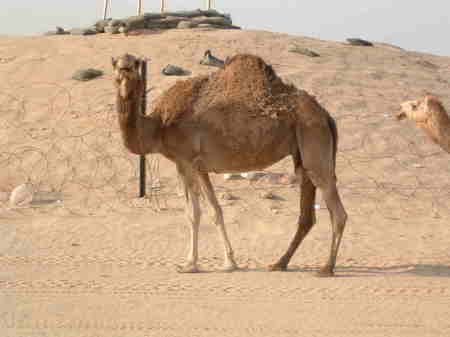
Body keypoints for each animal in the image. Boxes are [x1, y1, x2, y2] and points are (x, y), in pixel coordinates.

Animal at [111, 53, 348, 276]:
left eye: (134, 65)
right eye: (116, 66)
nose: (124, 74)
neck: (158, 126)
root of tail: (325, 115)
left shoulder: (184, 160)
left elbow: (193, 213)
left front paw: (189, 265)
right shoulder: (200, 167)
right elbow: (216, 211)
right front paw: (230, 262)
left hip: (313, 137)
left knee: (336, 208)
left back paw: (326, 268)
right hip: (302, 153)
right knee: (307, 212)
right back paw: (279, 263)